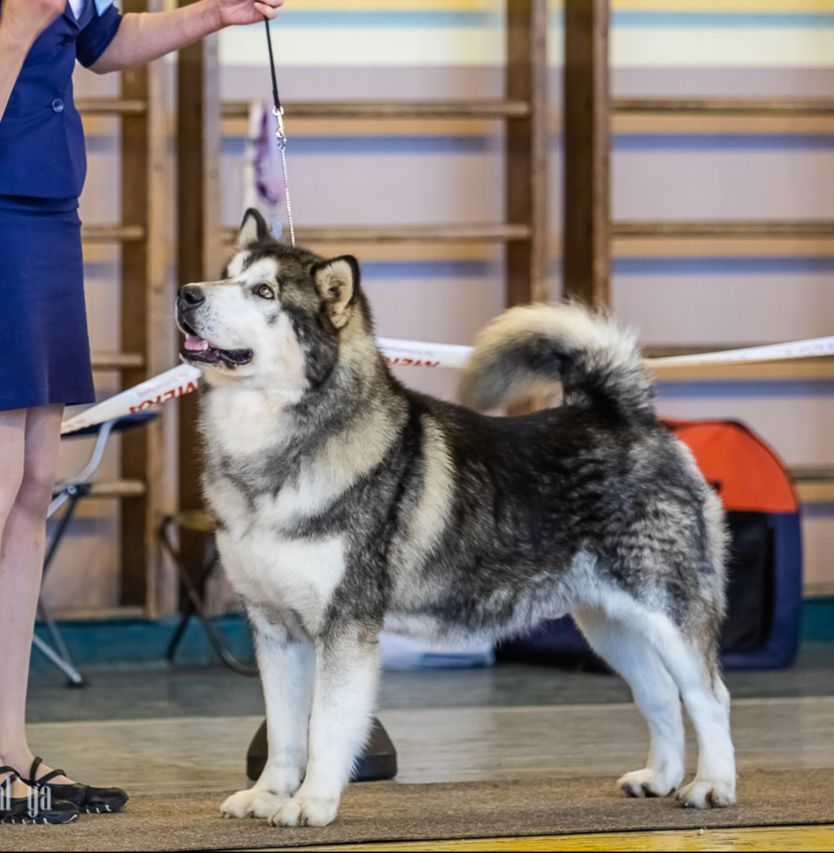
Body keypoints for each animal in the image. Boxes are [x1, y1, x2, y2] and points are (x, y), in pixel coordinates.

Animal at [176, 206, 736, 824]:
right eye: (226, 275)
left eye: (264, 291)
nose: (187, 293)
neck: (271, 447)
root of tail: (622, 416)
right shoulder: (275, 629)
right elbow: (283, 732)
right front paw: (270, 794)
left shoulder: (345, 627)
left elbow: (325, 729)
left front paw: (312, 803)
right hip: (609, 624)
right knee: (658, 693)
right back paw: (659, 778)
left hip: (666, 611)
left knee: (708, 695)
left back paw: (712, 785)